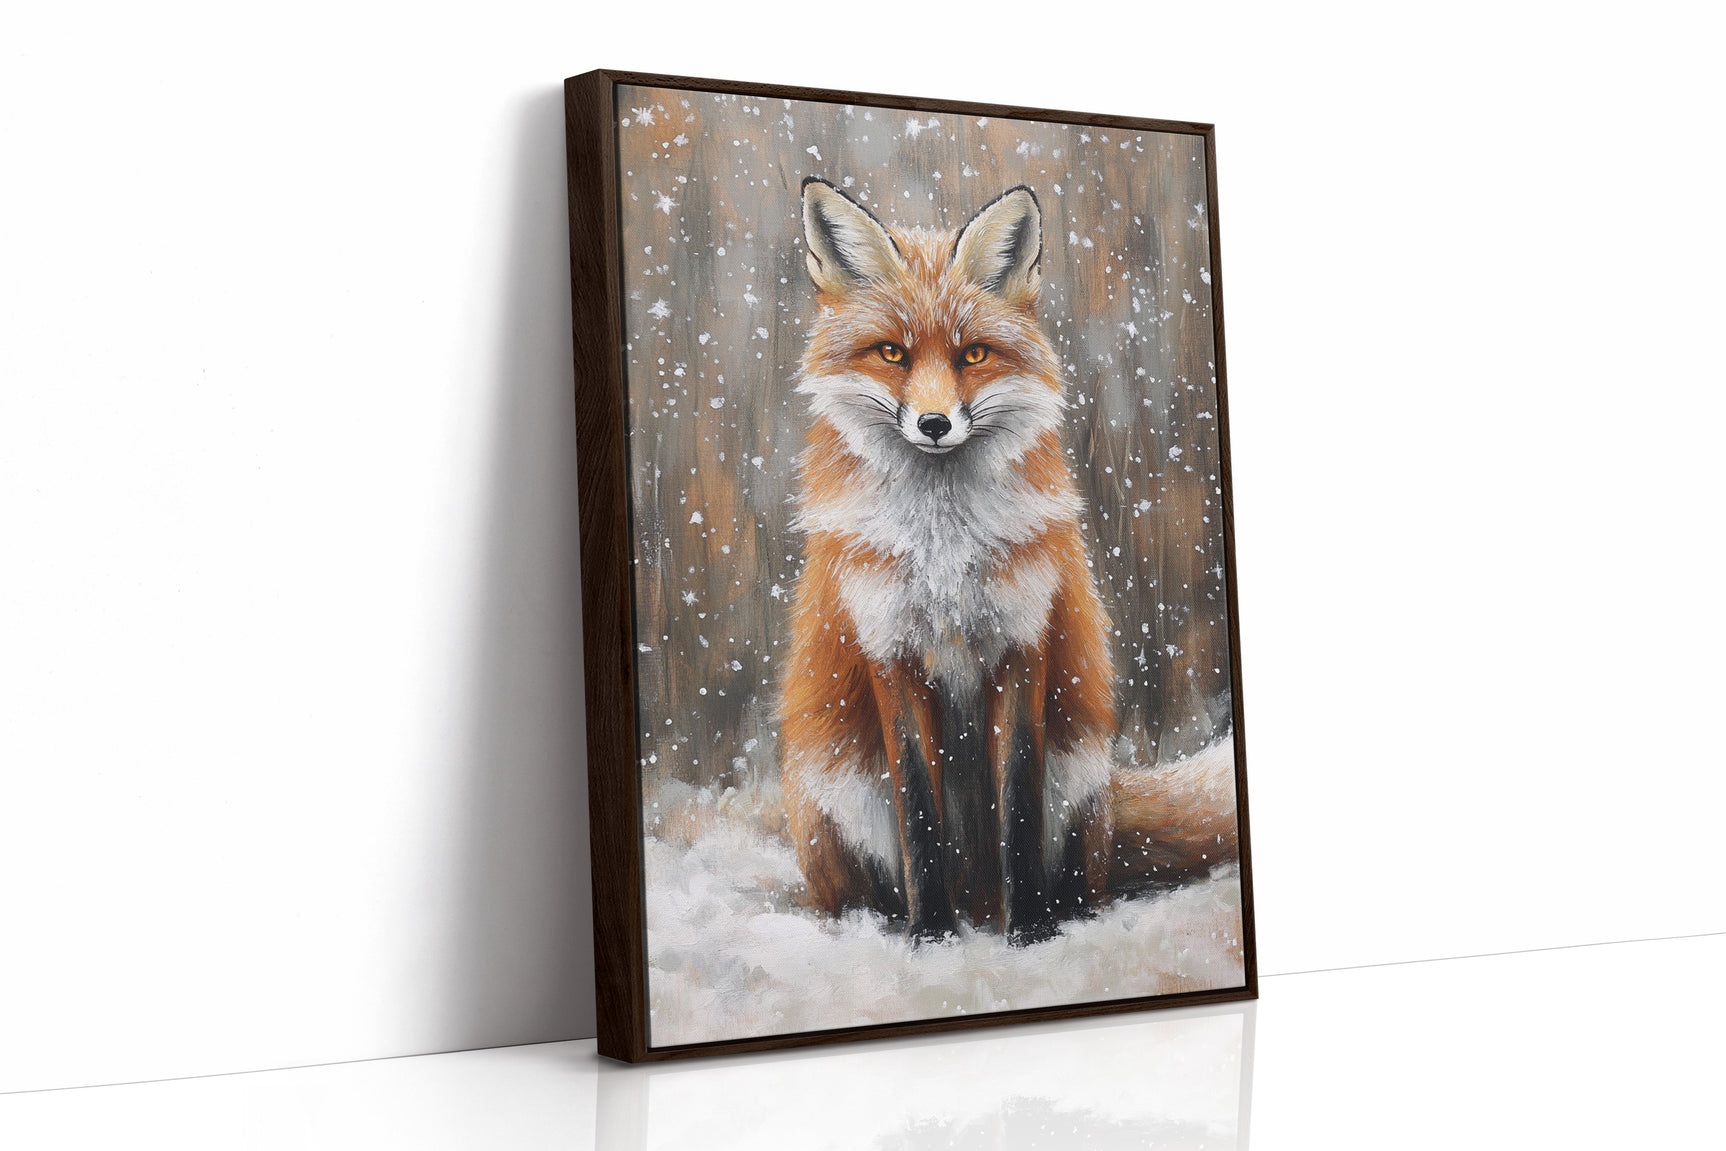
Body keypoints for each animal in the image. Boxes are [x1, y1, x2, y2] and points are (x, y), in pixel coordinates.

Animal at [778, 177, 1236, 944]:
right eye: (893, 353)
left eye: (973, 355)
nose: (934, 424)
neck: (943, 551)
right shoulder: (890, 651)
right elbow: (920, 817)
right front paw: (930, 938)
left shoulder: (1025, 640)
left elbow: (1017, 806)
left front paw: (1032, 935)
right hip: (833, 794)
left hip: (1078, 778)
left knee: (1081, 873)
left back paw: (1050, 913)